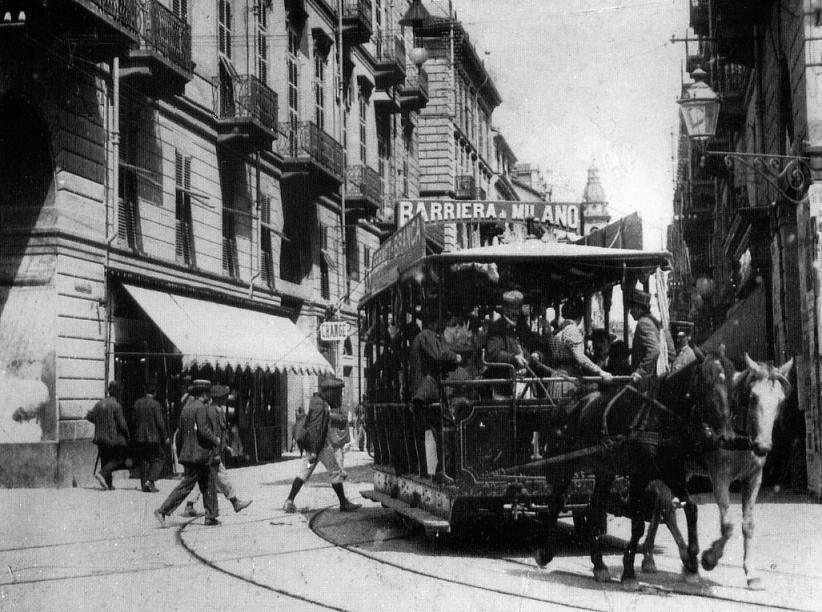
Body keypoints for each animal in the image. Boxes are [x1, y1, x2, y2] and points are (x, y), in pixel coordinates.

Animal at [644, 354, 800, 588]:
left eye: (780, 401)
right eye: (753, 397)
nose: (763, 446)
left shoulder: (754, 477)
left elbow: (748, 524)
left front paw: (751, 573)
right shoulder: (720, 477)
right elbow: (728, 525)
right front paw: (709, 558)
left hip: (681, 470)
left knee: (661, 508)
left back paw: (657, 558)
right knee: (665, 508)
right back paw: (677, 562)